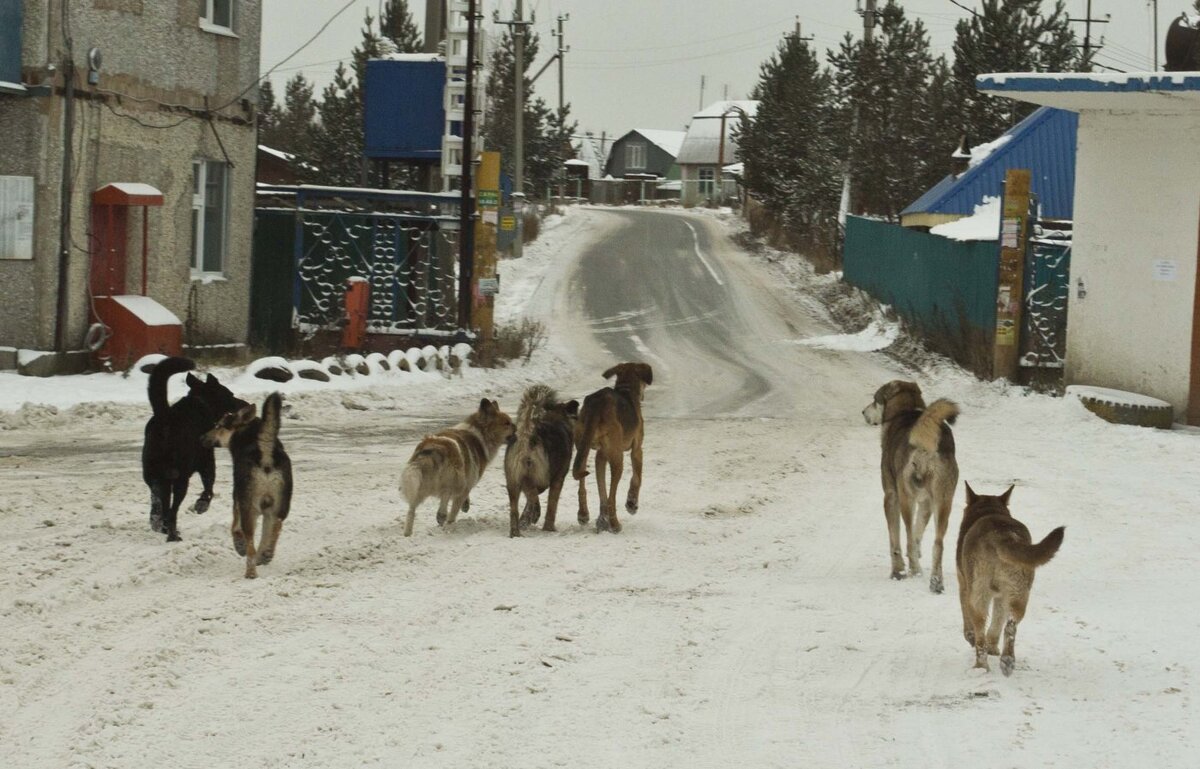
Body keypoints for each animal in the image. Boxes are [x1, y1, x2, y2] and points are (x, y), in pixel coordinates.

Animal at [141, 357, 247, 542]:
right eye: (231, 395)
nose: (246, 403)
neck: (201, 403)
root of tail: (164, 417)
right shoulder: (207, 463)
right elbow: (209, 489)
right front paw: (201, 505)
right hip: (180, 478)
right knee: (172, 510)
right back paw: (172, 535)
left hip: (155, 475)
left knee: (158, 504)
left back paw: (159, 524)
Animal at [400, 398, 513, 537]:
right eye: (507, 423)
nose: (518, 430)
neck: (479, 433)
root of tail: (433, 449)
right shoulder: (467, 483)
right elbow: (456, 505)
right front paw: (453, 519)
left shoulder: (467, 478)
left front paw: (465, 505)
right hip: (454, 478)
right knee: (446, 497)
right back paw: (443, 517)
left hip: (418, 484)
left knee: (411, 510)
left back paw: (408, 533)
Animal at [573, 362, 652, 530]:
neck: (626, 389)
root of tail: (598, 404)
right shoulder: (637, 449)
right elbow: (637, 478)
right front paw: (632, 504)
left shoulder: (601, 456)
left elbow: (602, 490)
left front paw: (601, 519)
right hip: (618, 458)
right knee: (612, 496)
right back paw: (615, 524)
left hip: (582, 446)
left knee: (583, 483)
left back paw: (585, 514)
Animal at [859, 381, 960, 590]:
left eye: (875, 399)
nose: (863, 412)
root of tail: (926, 446)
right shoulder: (927, 503)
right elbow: (918, 532)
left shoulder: (891, 497)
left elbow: (896, 541)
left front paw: (898, 571)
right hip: (943, 503)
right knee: (937, 543)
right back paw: (936, 582)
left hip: (907, 500)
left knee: (907, 536)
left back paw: (914, 570)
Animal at [960, 482, 1065, 676]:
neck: (989, 510)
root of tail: (1000, 534)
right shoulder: (1002, 596)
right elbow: (997, 623)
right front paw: (994, 649)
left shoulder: (963, 584)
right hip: (1019, 592)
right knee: (1010, 626)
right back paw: (1007, 660)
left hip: (979, 594)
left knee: (980, 631)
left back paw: (981, 666)